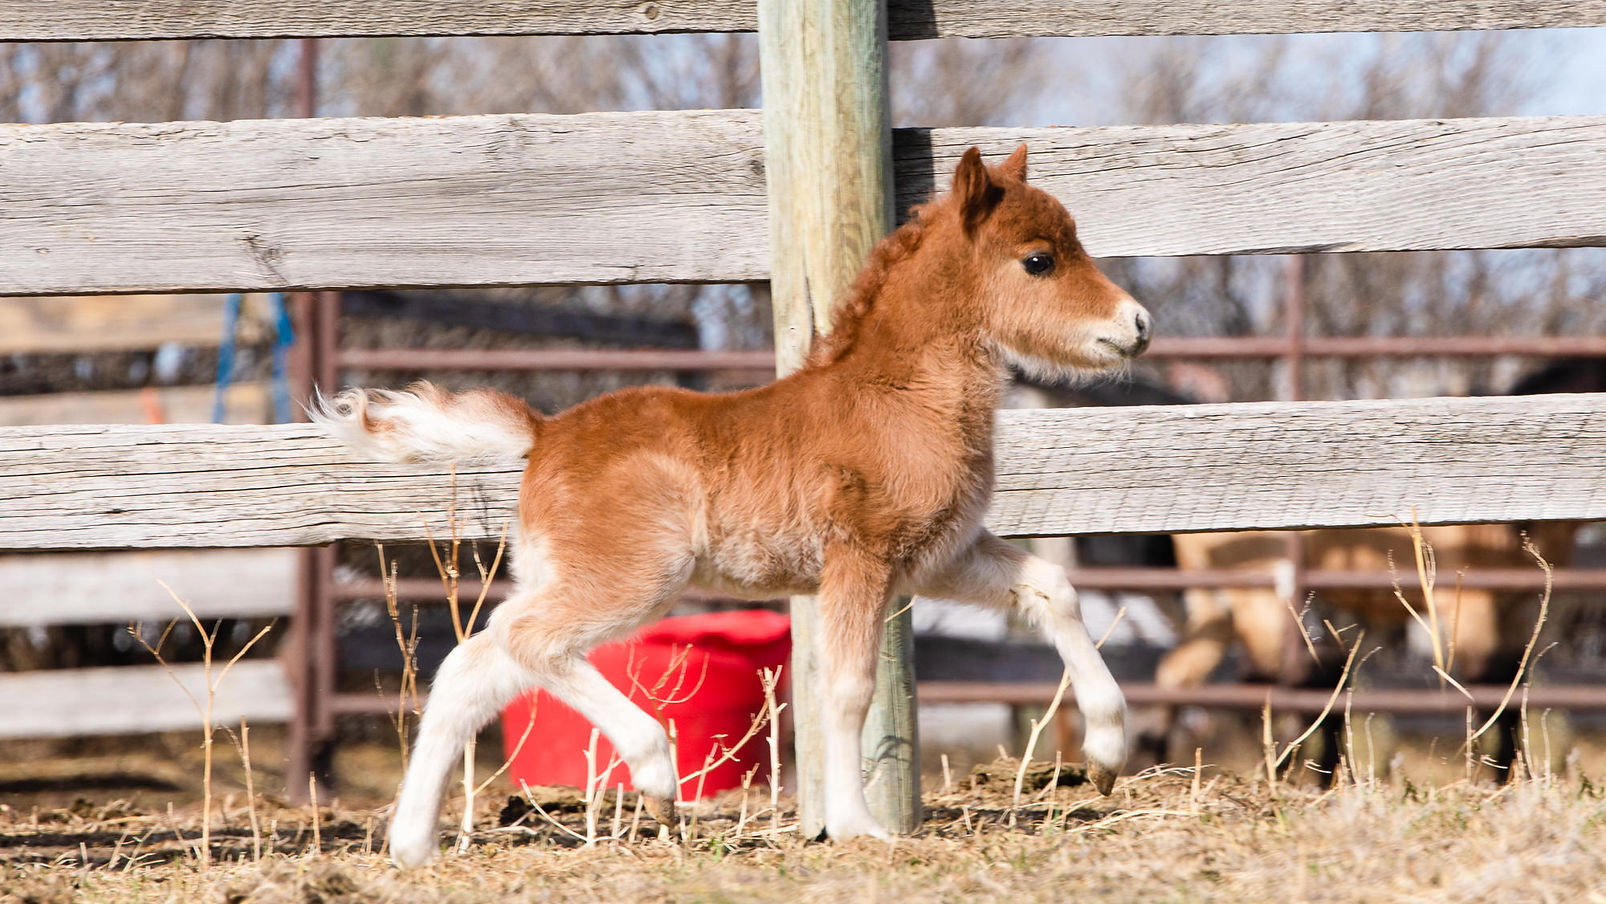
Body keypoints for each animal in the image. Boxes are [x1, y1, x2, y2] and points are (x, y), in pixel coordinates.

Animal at [314, 145, 1153, 866]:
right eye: (1039, 260)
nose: (1138, 324)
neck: (898, 400)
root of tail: (544, 432)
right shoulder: (862, 556)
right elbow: (848, 691)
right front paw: (856, 826)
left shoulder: (934, 557)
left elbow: (1055, 590)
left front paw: (1108, 754)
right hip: (635, 576)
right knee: (525, 641)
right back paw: (656, 774)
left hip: (572, 574)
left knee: (472, 665)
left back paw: (412, 845)